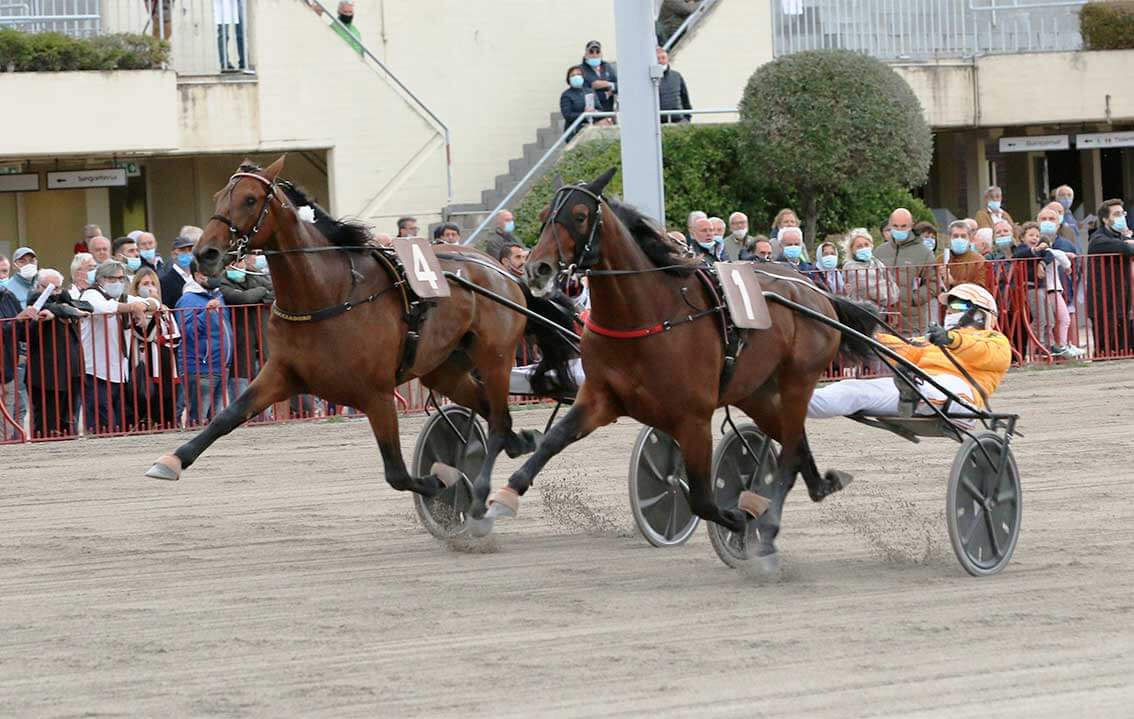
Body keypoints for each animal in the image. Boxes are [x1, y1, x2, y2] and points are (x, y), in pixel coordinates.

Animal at [145, 157, 576, 526]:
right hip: (444, 369)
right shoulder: (281, 374)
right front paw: (171, 460)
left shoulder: (377, 394)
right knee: (490, 412)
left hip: (495, 356)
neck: (327, 292)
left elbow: (397, 473)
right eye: (220, 196)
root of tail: (501, 270)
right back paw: (519, 440)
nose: (205, 254)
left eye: (250, 199)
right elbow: (227, 415)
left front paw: (442, 481)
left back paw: (485, 485)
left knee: (499, 421)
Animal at [483, 168, 879, 564]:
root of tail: (813, 289)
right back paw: (818, 486)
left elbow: (702, 497)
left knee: (788, 454)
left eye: (579, 216)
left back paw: (766, 525)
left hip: (798, 380)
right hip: (758, 393)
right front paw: (504, 495)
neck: (649, 315)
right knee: (794, 447)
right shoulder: (599, 398)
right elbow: (554, 440)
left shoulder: (693, 419)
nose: (537, 268)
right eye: (544, 215)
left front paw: (739, 519)